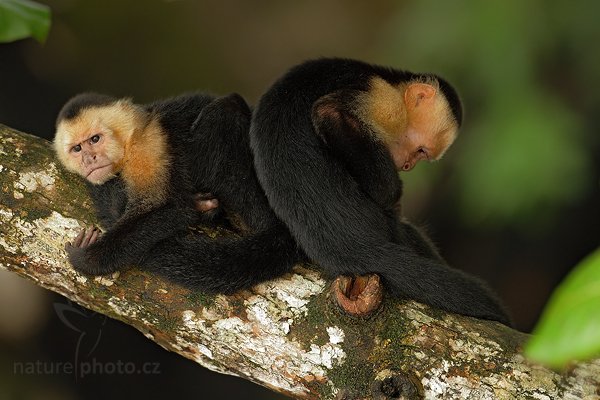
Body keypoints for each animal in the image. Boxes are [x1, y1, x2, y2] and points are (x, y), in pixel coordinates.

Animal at [54, 92, 302, 292]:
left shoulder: (147, 143)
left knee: (225, 111)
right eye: (77, 149)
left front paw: (86, 259)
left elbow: (167, 207)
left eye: (95, 139)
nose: (89, 159)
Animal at [250, 57, 510, 324]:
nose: (406, 165)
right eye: (421, 151)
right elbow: (328, 111)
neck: (391, 81)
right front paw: (392, 192)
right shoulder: (384, 99)